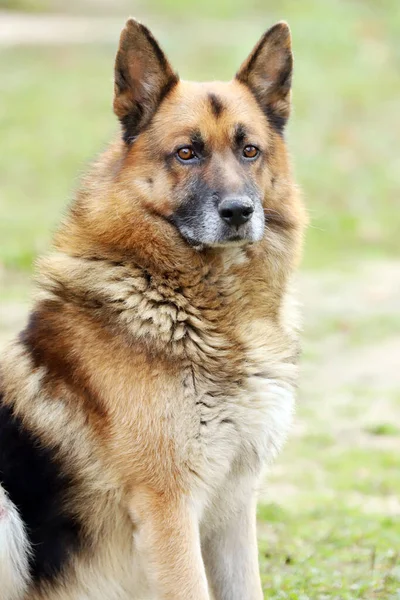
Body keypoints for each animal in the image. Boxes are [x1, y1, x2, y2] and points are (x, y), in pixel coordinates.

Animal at [0, 18, 306, 600]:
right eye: (186, 153)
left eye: (250, 151)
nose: (240, 212)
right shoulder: (168, 510)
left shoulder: (234, 507)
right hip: (6, 510)